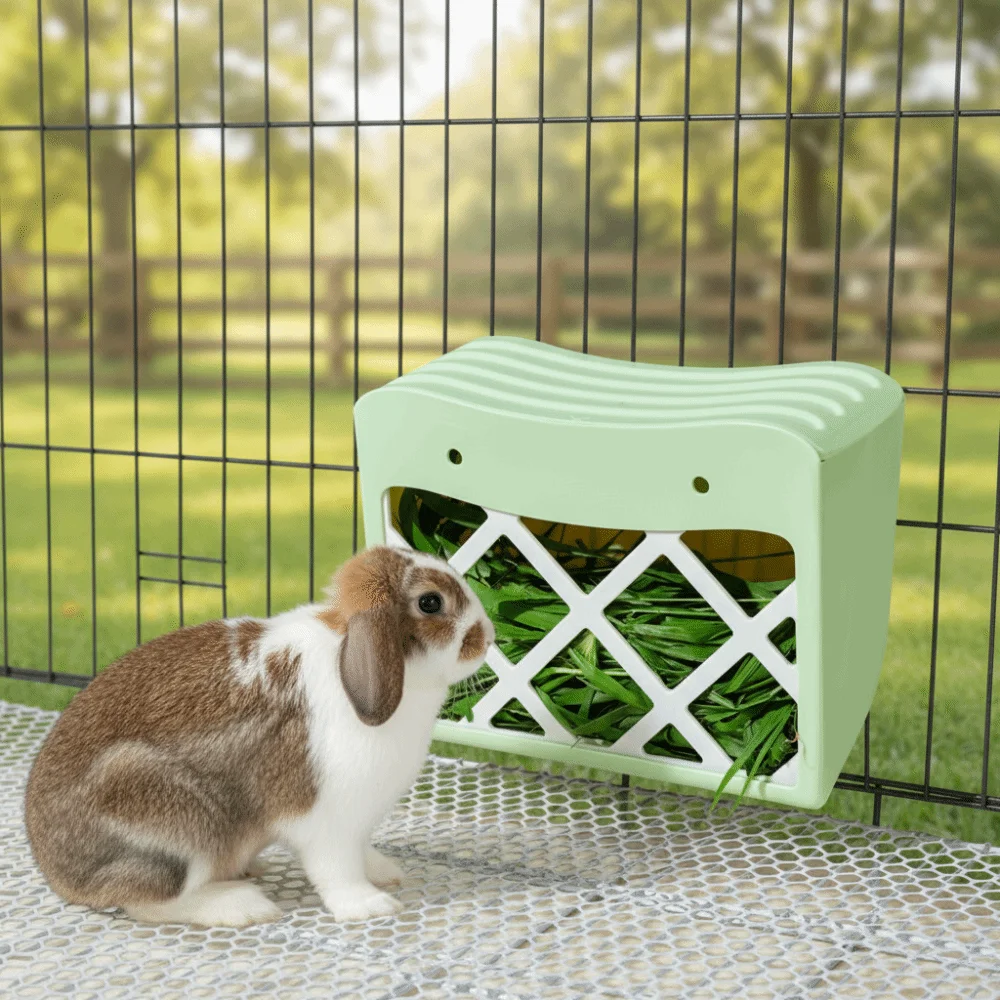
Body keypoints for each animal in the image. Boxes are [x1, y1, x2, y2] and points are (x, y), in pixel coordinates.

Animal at [24, 545, 494, 928]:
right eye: (431, 602)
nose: (487, 637)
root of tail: (58, 874)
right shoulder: (325, 820)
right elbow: (338, 869)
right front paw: (368, 905)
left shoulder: (357, 822)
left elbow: (362, 853)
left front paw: (387, 873)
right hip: (177, 823)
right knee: (147, 900)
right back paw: (243, 906)